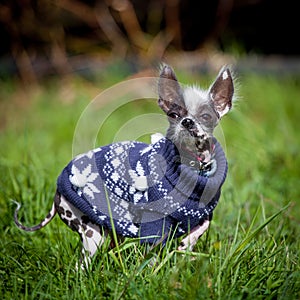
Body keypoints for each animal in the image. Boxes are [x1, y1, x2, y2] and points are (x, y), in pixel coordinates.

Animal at [14, 65, 234, 268]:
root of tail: (58, 191)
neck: (192, 167)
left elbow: (198, 230)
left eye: (206, 116)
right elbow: (152, 253)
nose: (187, 122)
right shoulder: (153, 223)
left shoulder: (203, 215)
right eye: (173, 114)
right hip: (92, 234)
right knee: (81, 266)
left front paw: (185, 246)